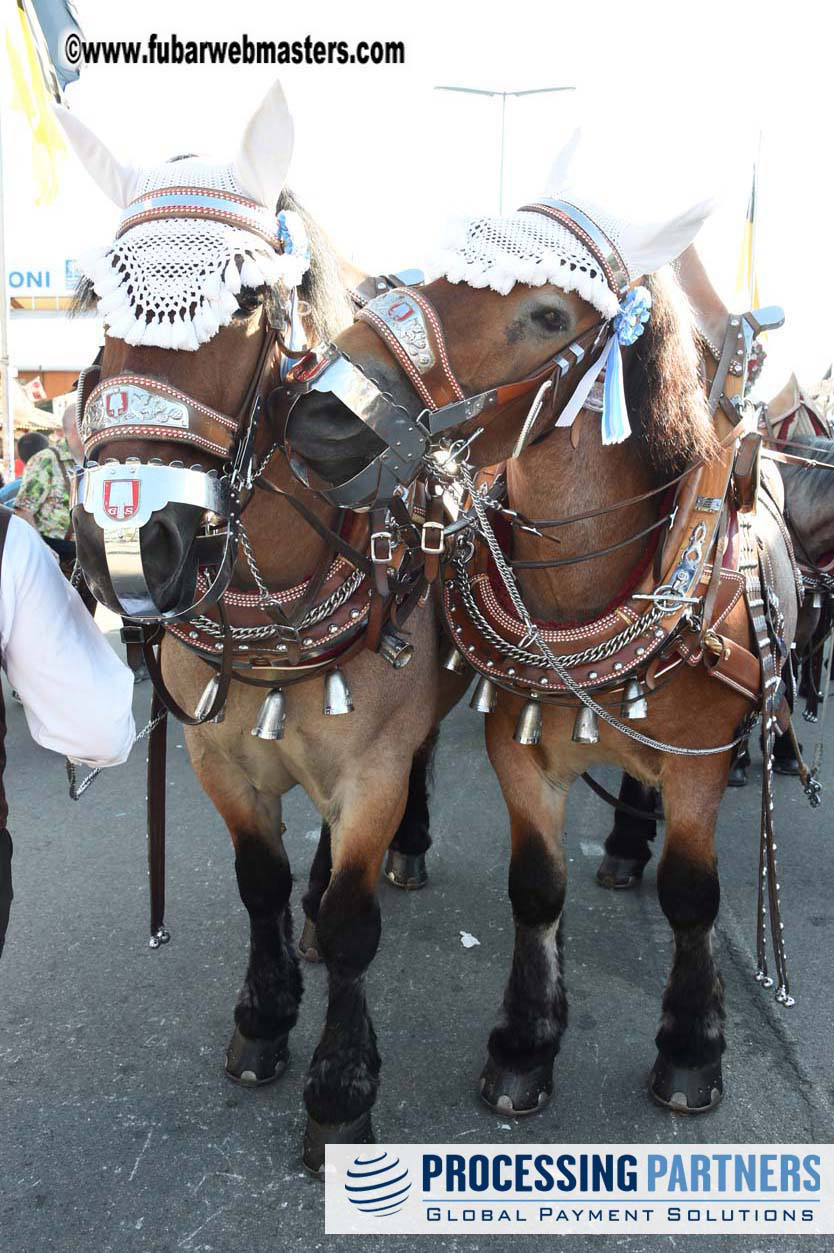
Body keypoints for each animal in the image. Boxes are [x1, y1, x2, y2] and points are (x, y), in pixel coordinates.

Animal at [56, 83, 460, 1167]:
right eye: (92, 300)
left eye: (244, 300)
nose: (129, 539)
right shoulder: (219, 760)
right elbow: (262, 884)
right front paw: (266, 1015)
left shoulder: (372, 765)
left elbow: (356, 920)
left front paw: (341, 1086)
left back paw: (409, 846)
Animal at [288, 187, 801, 1117]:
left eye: (549, 314)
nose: (319, 416)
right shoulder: (518, 748)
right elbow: (536, 886)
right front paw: (525, 1042)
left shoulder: (703, 757)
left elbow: (692, 894)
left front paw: (690, 1047)